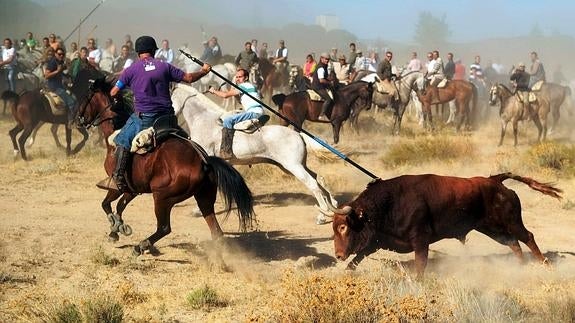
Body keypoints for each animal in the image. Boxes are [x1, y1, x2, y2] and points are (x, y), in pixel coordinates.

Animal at [77, 78, 256, 256]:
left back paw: (141, 246)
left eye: (86, 97)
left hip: (162, 198)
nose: (78, 119)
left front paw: (115, 227)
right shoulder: (132, 189)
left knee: (164, 227)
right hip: (204, 198)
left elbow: (106, 204)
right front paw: (116, 229)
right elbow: (120, 206)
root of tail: (204, 161)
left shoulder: (117, 185)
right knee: (216, 231)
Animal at [171, 83, 342, 225]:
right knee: (318, 179)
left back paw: (323, 214)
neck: (203, 119)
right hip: (293, 166)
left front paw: (197, 211)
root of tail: (298, 134)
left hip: (294, 167)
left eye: (170, 97)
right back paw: (330, 207)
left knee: (313, 184)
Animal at [332, 173, 564, 278]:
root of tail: (495, 180)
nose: (338, 255)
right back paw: (518, 267)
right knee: (513, 243)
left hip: (511, 222)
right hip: (491, 229)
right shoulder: (380, 241)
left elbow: (421, 264)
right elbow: (359, 257)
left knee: (527, 237)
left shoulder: (421, 240)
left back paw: (545, 264)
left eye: (344, 227)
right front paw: (347, 270)